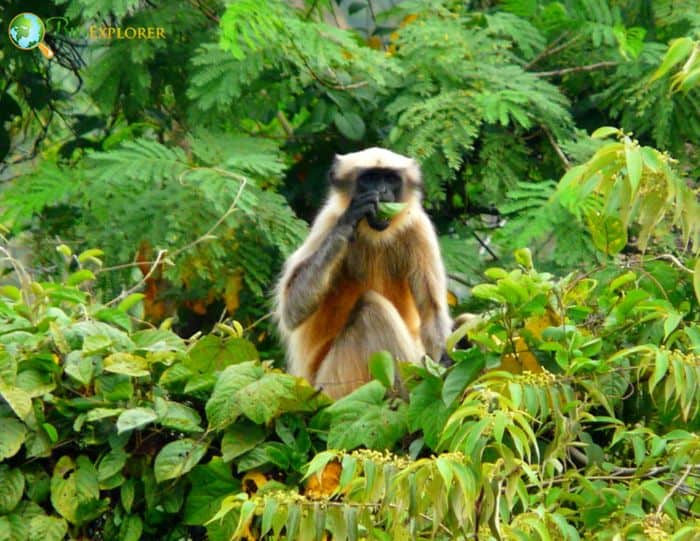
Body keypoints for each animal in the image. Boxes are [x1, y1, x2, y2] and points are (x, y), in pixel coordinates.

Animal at [274, 147, 454, 396]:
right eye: (369, 179)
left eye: (389, 179)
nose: (382, 191)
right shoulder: (327, 221)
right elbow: (291, 310)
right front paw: (347, 223)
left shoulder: (418, 227)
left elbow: (431, 311)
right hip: (332, 384)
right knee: (372, 309)